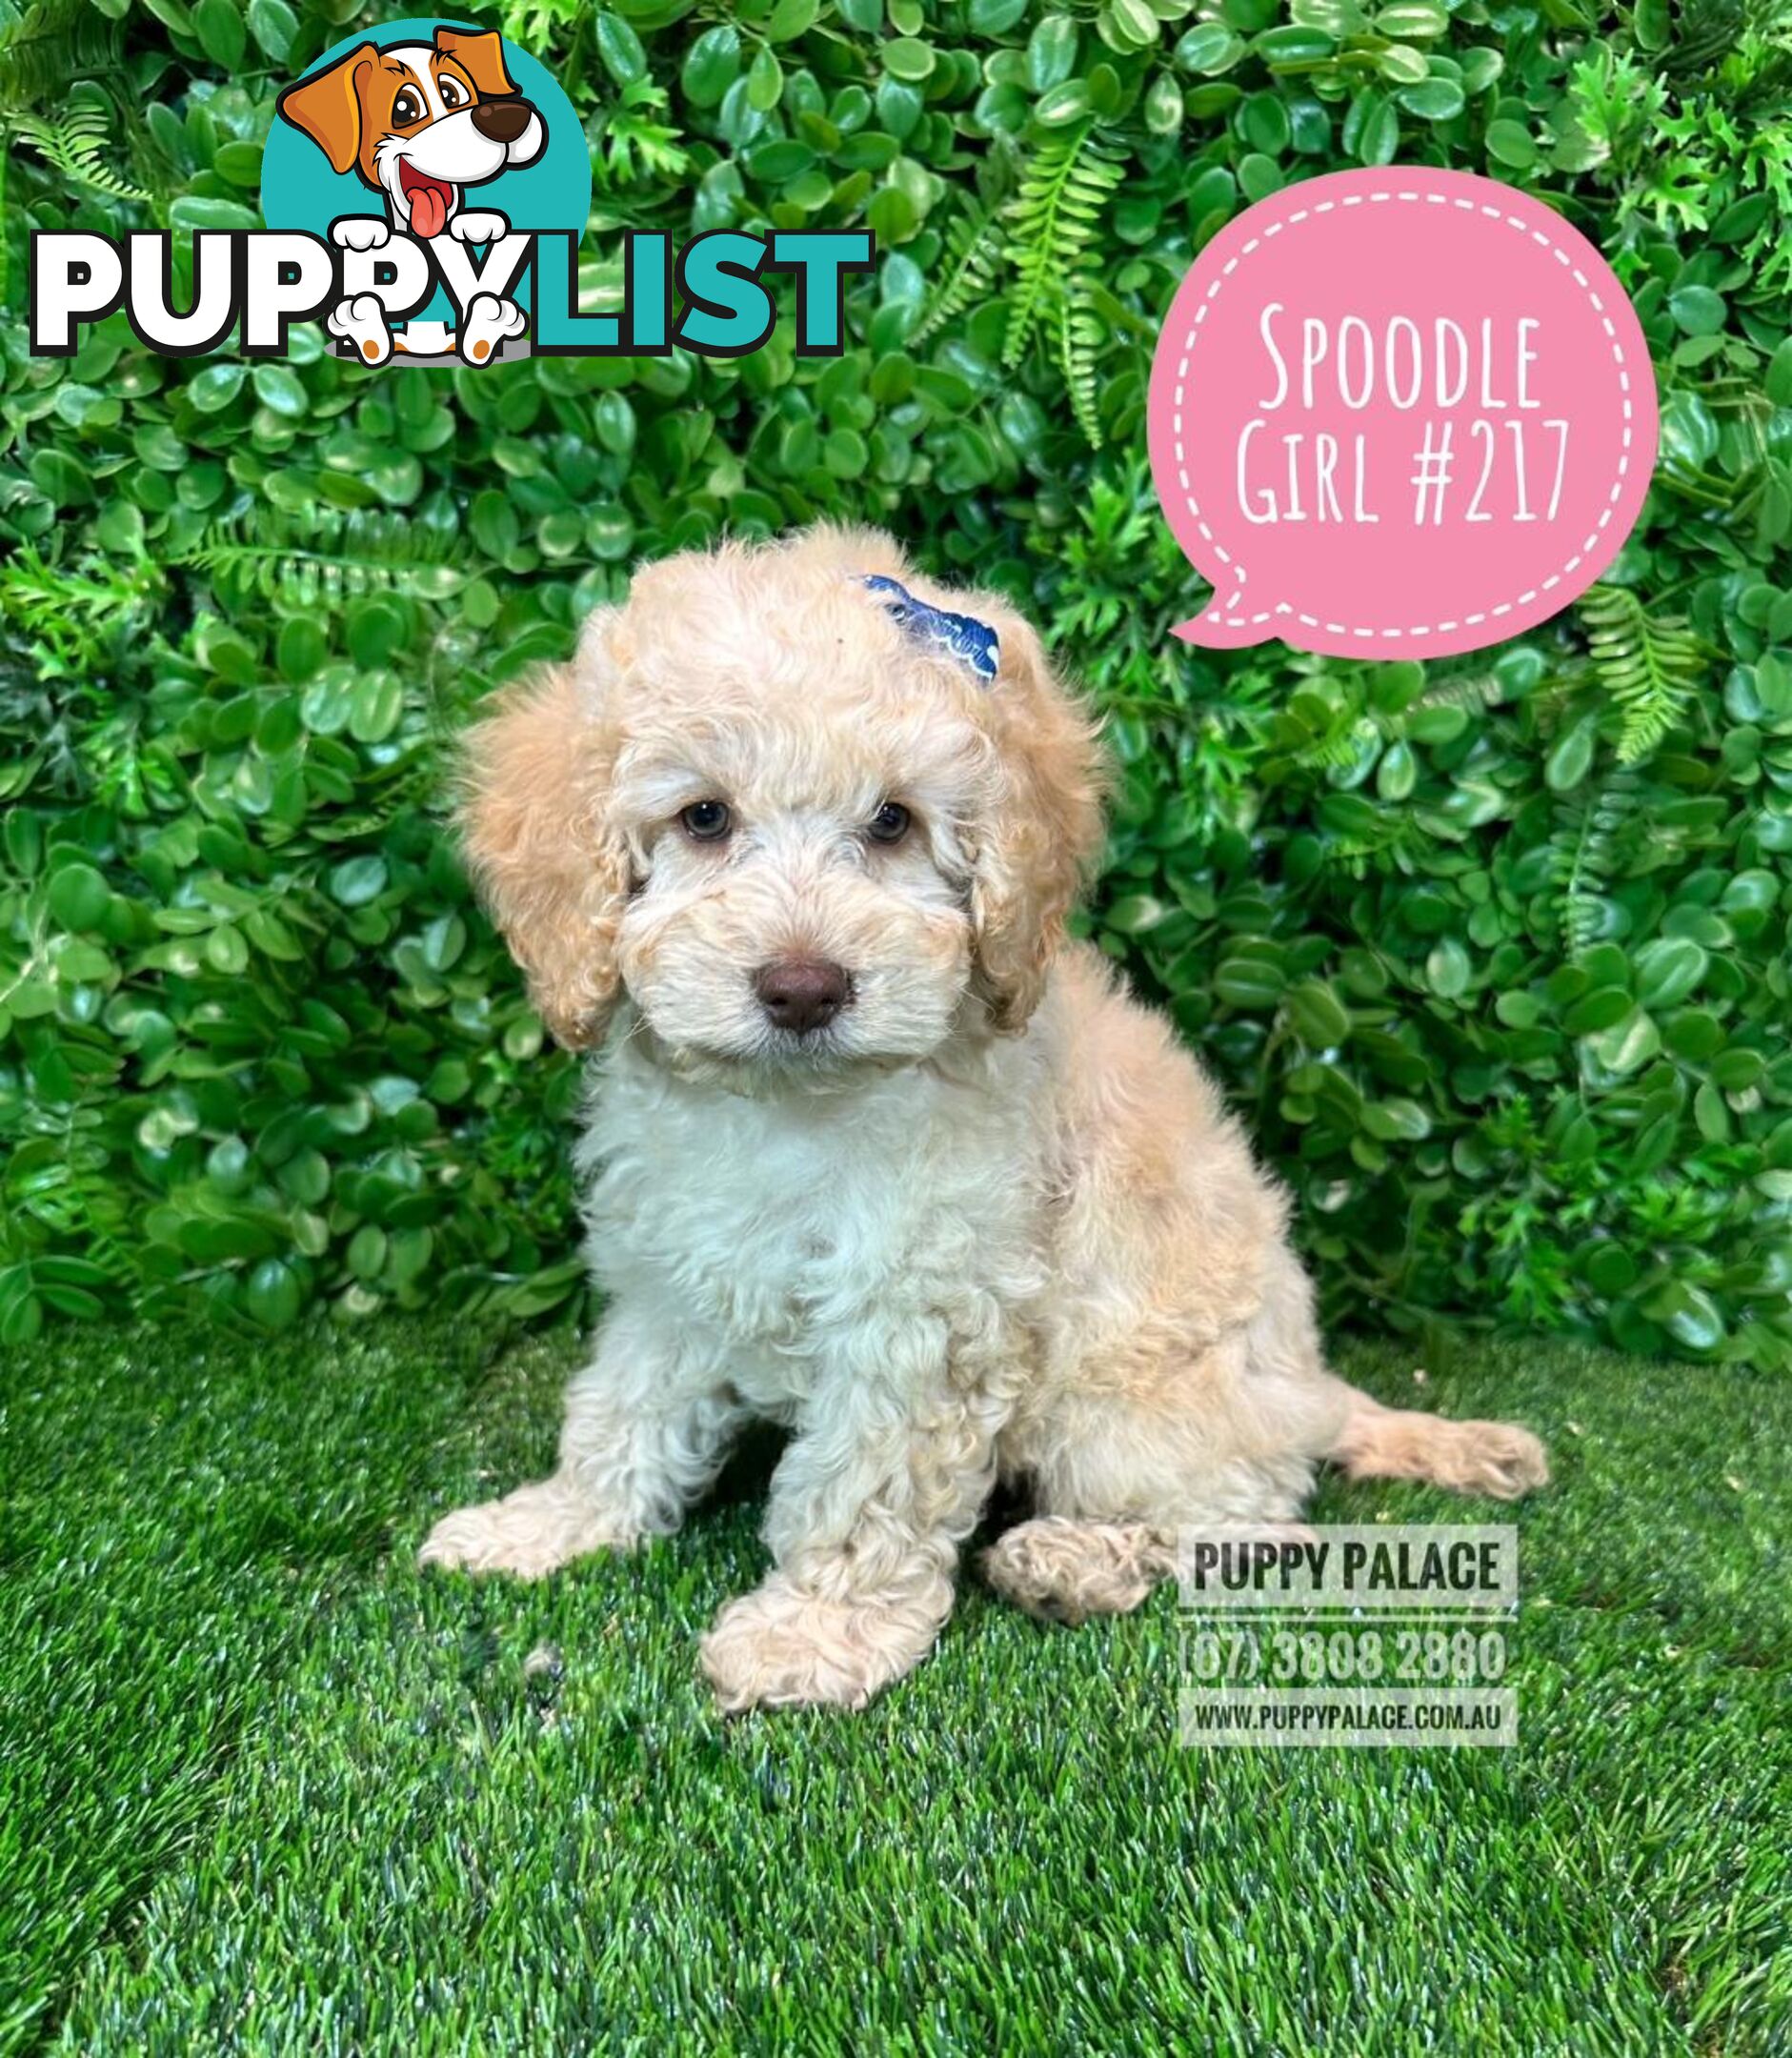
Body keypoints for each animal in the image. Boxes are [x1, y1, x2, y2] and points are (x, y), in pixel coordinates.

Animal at [417, 522, 1539, 1712]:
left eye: (893, 822)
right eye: (704, 816)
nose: (804, 986)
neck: (791, 1108)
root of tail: (1319, 1392)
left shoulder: (924, 1311)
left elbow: (865, 1486)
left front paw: (815, 1634)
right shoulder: (674, 1274)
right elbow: (623, 1409)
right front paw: (552, 1524)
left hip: (1131, 1409)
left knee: (1242, 1523)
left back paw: (1072, 1562)